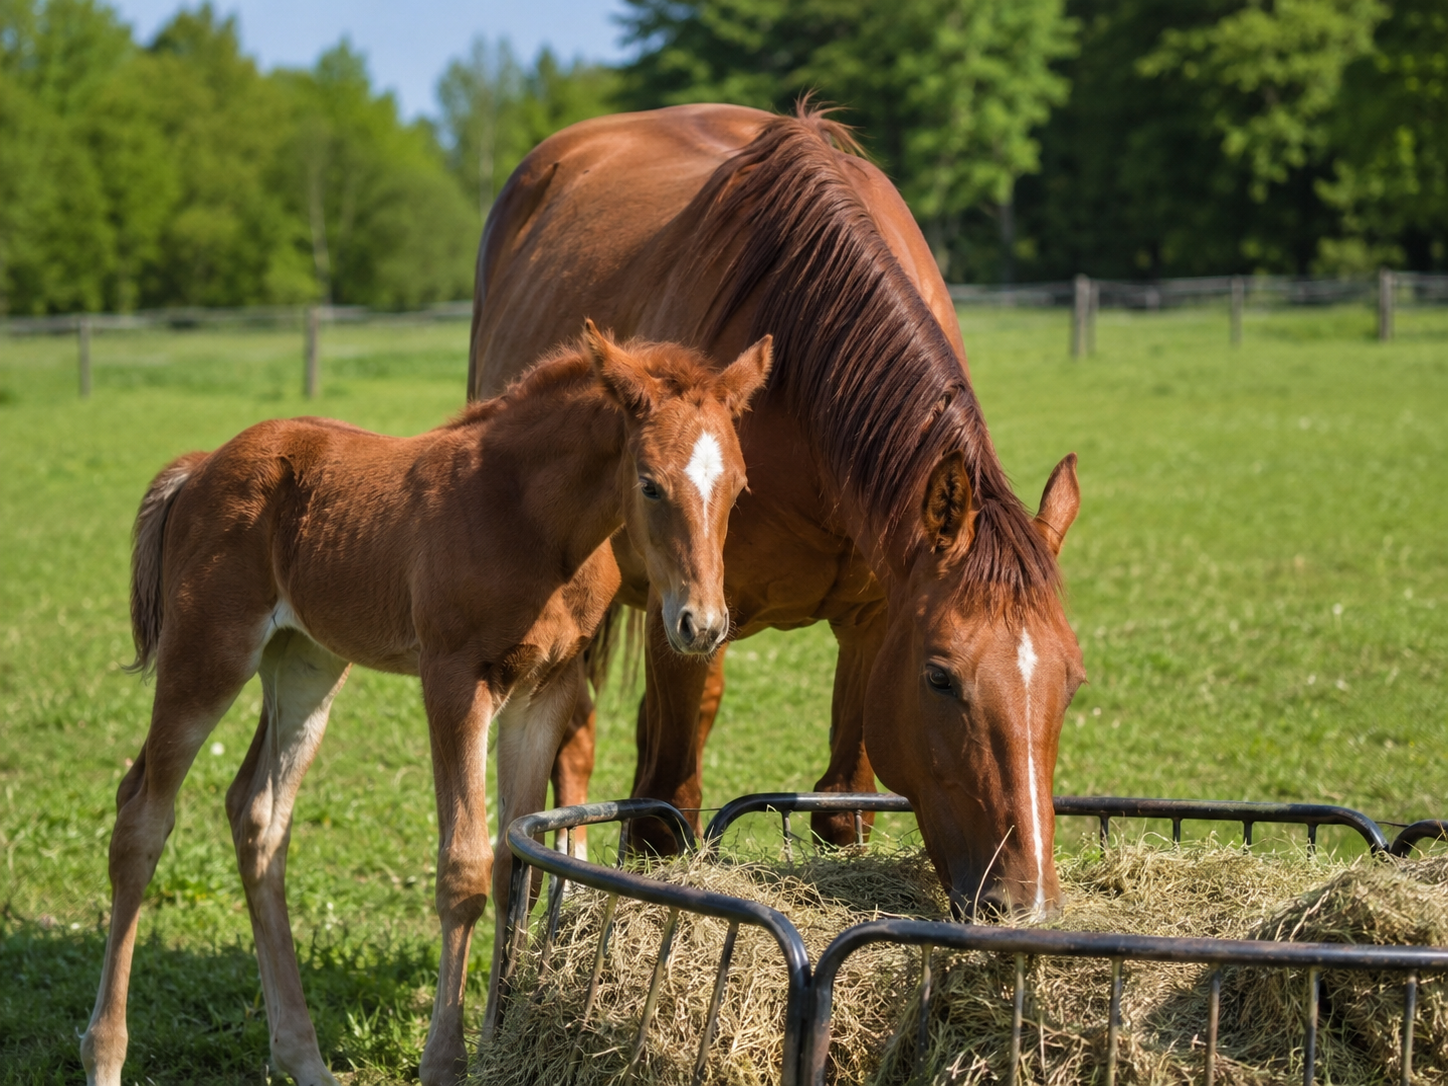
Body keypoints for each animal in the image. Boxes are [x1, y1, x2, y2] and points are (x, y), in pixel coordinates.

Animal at [80, 323, 773, 1086]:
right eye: (649, 484)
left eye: (740, 487)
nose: (701, 625)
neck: (534, 522)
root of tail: (202, 466)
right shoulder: (455, 681)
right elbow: (462, 868)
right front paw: (446, 1059)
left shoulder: (545, 693)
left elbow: (516, 866)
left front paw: (501, 1040)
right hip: (208, 653)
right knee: (143, 814)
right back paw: (105, 1054)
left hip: (306, 662)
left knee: (258, 815)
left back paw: (305, 1058)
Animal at [468, 104, 1085, 920]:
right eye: (940, 678)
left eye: (1071, 681)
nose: (1027, 904)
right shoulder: (684, 617)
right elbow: (662, 819)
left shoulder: (875, 622)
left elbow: (841, 812)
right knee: (576, 739)